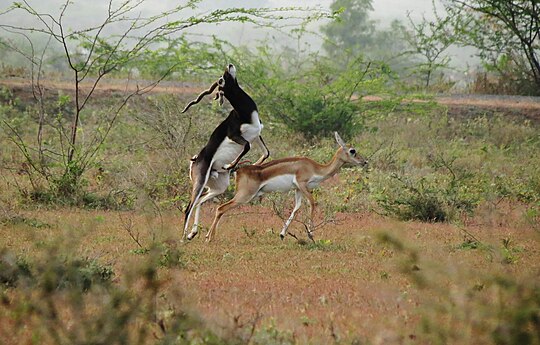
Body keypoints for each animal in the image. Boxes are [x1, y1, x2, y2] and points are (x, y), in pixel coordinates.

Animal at [184, 63, 270, 239]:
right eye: (221, 80)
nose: (229, 65)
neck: (244, 114)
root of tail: (194, 160)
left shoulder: (257, 134)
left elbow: (266, 153)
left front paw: (251, 166)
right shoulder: (235, 136)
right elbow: (247, 146)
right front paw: (230, 165)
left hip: (218, 186)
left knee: (200, 200)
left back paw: (193, 233)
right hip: (200, 181)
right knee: (188, 208)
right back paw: (184, 237)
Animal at [205, 132, 370, 242]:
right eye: (352, 151)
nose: (364, 162)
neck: (315, 168)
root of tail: (239, 170)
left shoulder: (297, 190)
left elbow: (296, 209)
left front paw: (282, 234)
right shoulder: (302, 185)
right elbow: (312, 203)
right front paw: (311, 233)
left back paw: (207, 235)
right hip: (244, 196)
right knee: (221, 208)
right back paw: (209, 238)